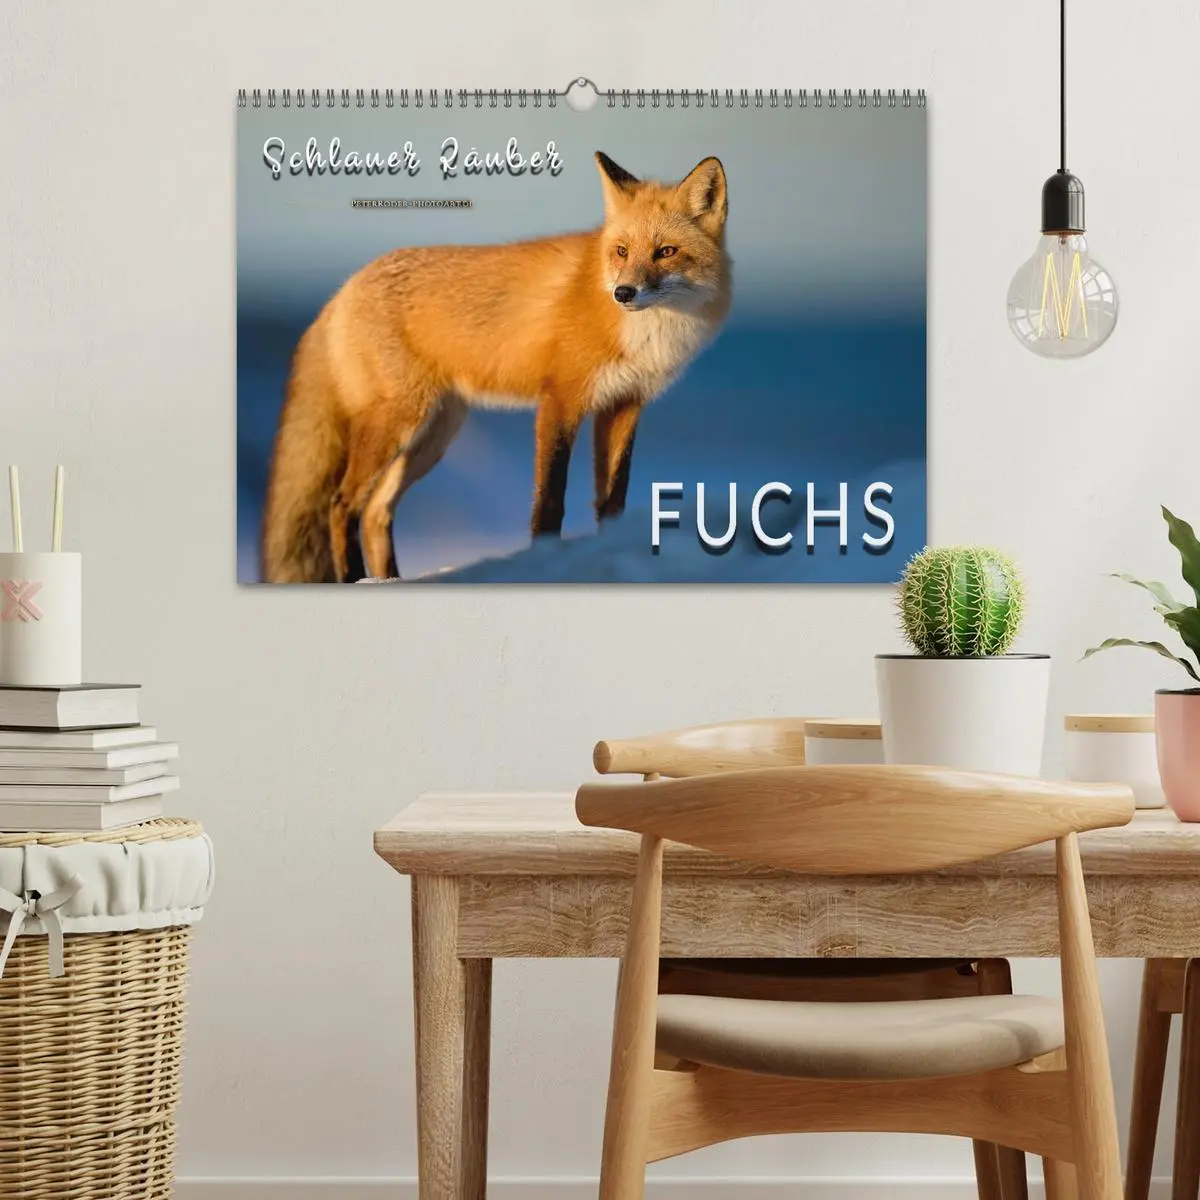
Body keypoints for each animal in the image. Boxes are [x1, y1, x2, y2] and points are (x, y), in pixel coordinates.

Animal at [259, 150, 732, 583]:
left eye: (666, 252)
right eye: (621, 251)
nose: (624, 293)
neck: (646, 333)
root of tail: (342, 291)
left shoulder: (624, 405)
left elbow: (612, 501)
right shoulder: (560, 400)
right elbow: (549, 500)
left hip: (433, 435)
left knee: (376, 512)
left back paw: (388, 579)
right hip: (398, 423)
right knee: (341, 505)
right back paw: (357, 578)